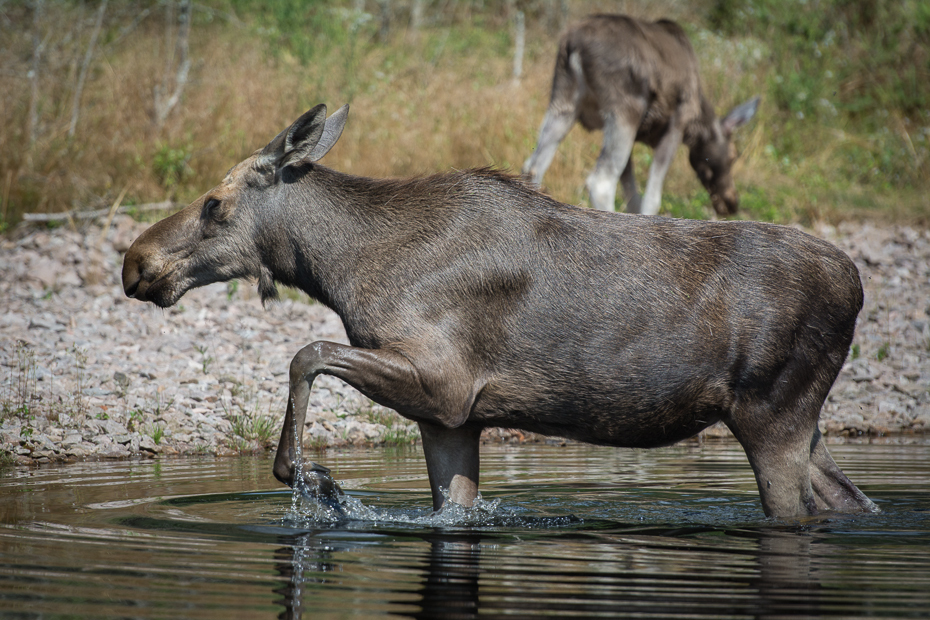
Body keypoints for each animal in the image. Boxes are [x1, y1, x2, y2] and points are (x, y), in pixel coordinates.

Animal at [119, 103, 872, 520]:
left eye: (215, 203)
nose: (135, 262)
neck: (342, 269)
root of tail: (857, 285)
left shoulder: (443, 382)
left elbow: (306, 353)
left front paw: (320, 482)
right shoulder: (452, 419)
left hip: (772, 413)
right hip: (802, 420)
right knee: (849, 501)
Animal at [520, 13, 756, 217]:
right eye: (734, 155)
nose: (731, 202)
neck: (697, 124)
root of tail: (573, 44)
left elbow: (633, 198)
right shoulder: (677, 123)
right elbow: (651, 199)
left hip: (563, 102)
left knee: (532, 167)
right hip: (626, 109)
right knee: (600, 183)